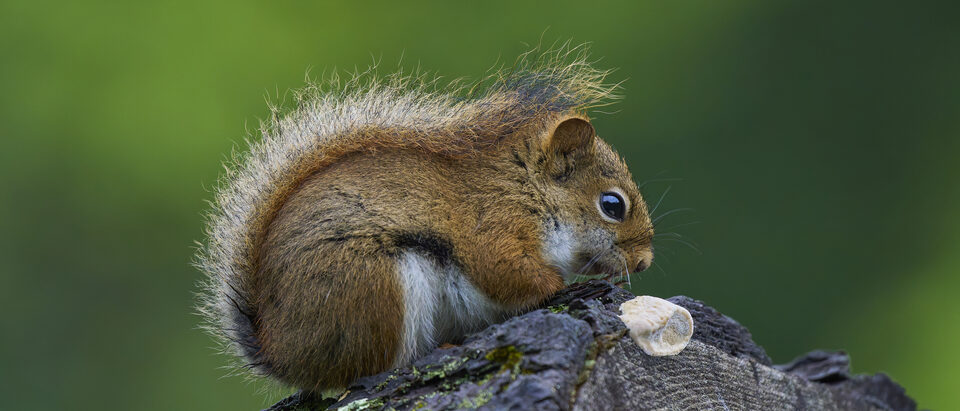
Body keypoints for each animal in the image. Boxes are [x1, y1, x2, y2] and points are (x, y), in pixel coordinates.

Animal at [196, 48, 654, 393]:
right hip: (373, 286)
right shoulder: (493, 225)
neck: (528, 190)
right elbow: (506, 273)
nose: (644, 262)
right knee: (368, 367)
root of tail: (281, 352)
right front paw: (563, 286)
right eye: (612, 205)